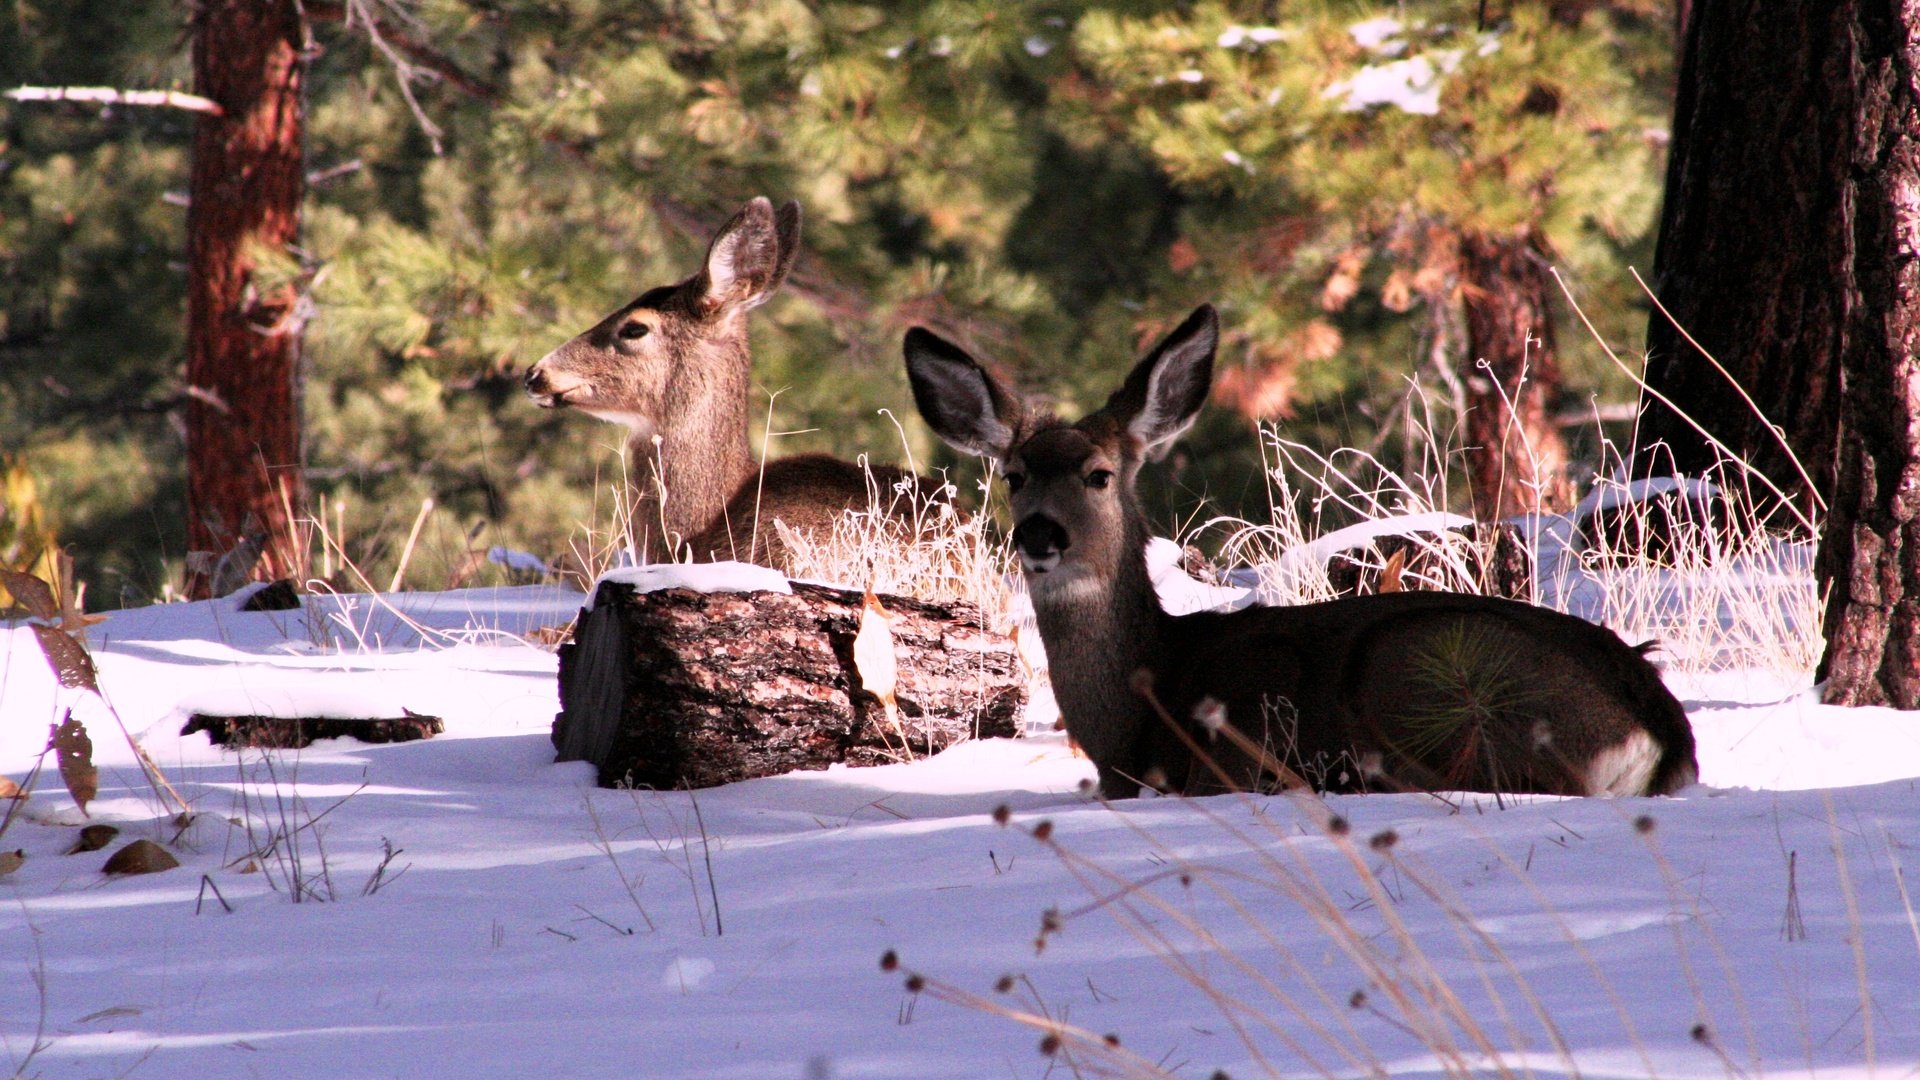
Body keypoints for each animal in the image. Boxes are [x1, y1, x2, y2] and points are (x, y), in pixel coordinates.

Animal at [898, 307, 1697, 795]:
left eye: (1098, 474)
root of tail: (1659, 732)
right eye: (1014, 476)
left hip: (1419, 665)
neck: (1137, 714)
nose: (1040, 534)